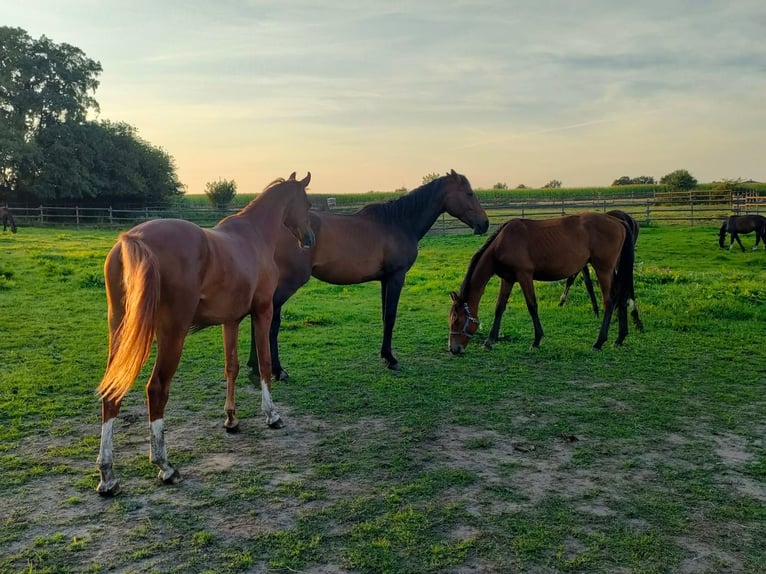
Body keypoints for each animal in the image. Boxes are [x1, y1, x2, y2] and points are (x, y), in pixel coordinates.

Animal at [97, 173, 316, 498]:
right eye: (307, 203)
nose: (309, 238)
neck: (253, 236)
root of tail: (133, 239)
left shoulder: (231, 321)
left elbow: (231, 367)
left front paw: (231, 419)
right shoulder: (262, 312)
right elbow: (264, 364)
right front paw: (272, 415)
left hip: (120, 333)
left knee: (111, 392)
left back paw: (108, 476)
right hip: (172, 335)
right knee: (156, 390)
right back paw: (165, 466)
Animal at [246, 170, 488, 378]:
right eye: (469, 193)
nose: (484, 224)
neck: (399, 223)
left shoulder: (385, 280)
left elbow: (384, 316)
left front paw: (384, 355)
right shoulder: (396, 277)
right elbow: (390, 316)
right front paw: (391, 359)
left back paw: (254, 367)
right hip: (287, 284)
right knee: (270, 322)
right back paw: (277, 370)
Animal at [450, 213, 636, 356]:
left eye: (457, 321)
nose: (453, 349)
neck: (503, 242)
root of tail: (618, 222)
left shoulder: (524, 275)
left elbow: (532, 306)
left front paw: (536, 340)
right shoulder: (508, 279)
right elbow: (499, 307)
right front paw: (489, 340)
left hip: (603, 269)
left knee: (609, 301)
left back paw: (599, 342)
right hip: (612, 270)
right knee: (621, 297)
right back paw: (619, 338)